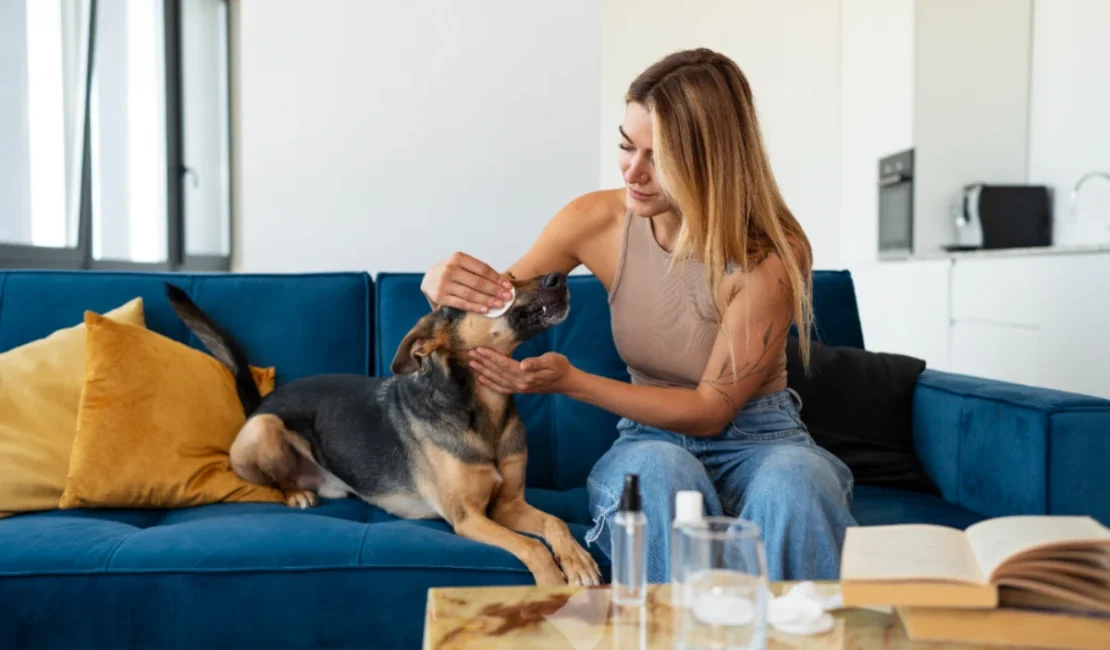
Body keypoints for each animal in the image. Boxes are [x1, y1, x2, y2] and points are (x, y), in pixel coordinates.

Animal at [162, 270, 603, 585]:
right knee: (276, 478)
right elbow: (531, 547)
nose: (559, 277)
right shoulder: (468, 518)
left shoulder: (508, 504)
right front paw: (553, 583)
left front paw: (578, 560)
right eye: (500, 283)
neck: (482, 408)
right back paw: (296, 494)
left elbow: (555, 523)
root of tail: (263, 403)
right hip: (265, 429)